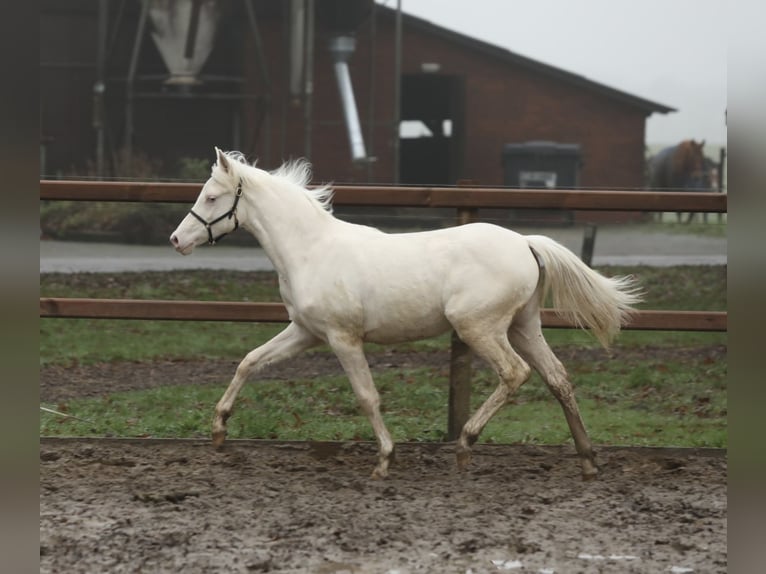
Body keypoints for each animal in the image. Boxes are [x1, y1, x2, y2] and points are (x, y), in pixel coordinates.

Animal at [172, 148, 640, 482]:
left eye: (211, 197)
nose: (177, 239)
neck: (311, 250)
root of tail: (525, 242)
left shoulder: (343, 338)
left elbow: (367, 396)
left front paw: (383, 460)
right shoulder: (306, 332)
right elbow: (249, 361)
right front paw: (218, 431)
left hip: (479, 327)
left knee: (515, 373)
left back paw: (466, 445)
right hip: (525, 326)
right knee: (558, 378)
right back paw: (588, 461)